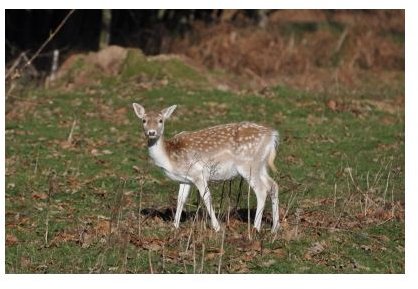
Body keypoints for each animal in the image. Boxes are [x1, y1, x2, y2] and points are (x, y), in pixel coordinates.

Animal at [132, 103, 280, 232]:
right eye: (144, 120)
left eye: (161, 120)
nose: (151, 132)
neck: (169, 157)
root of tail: (272, 136)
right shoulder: (185, 179)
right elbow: (180, 200)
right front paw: (175, 226)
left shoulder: (198, 173)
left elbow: (207, 197)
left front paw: (217, 227)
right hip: (260, 165)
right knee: (273, 185)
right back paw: (275, 228)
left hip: (247, 165)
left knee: (261, 190)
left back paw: (256, 228)